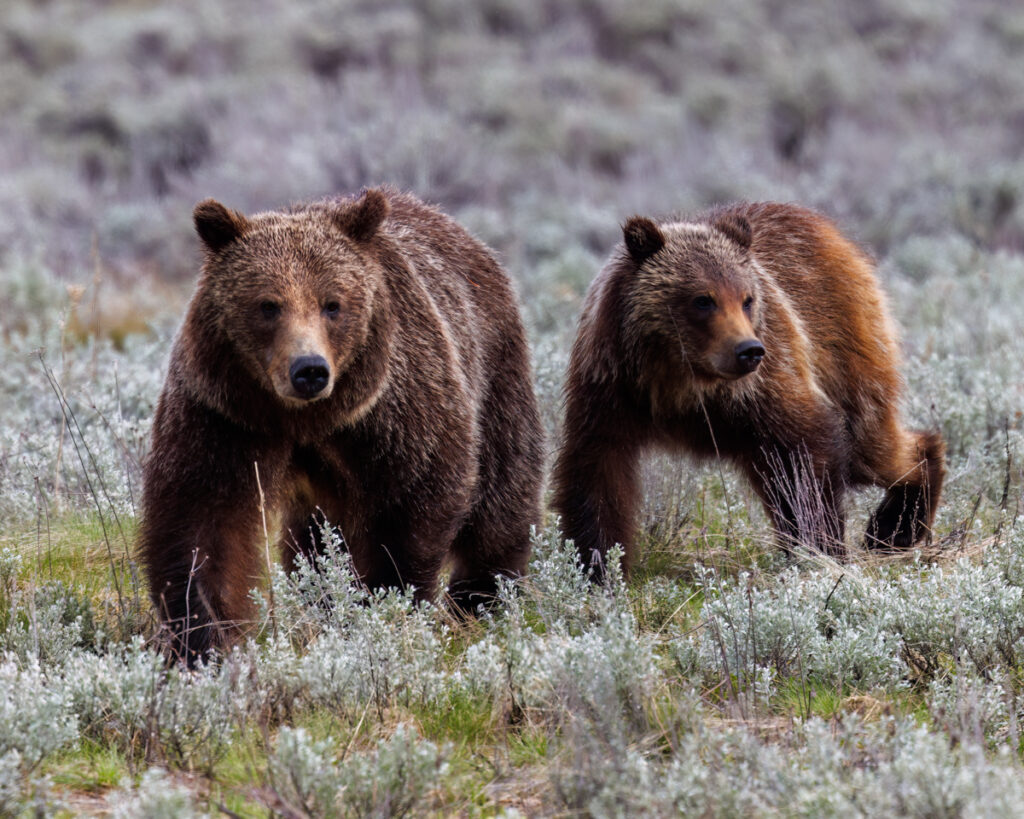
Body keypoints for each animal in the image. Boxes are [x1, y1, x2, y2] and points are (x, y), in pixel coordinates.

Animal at [142, 188, 552, 663]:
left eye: (332, 304)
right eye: (268, 305)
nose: (309, 370)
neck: (308, 419)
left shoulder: (395, 413)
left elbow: (411, 506)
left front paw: (384, 604)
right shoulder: (224, 414)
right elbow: (203, 522)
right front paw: (202, 639)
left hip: (494, 370)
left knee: (502, 491)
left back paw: (480, 595)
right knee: (311, 541)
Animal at [552, 202, 942, 577]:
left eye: (747, 298)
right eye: (703, 299)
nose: (749, 350)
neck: (680, 381)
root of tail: (829, 230)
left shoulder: (765, 385)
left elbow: (806, 452)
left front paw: (821, 548)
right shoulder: (611, 387)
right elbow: (597, 471)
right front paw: (597, 565)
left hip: (843, 343)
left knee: (870, 442)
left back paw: (895, 524)